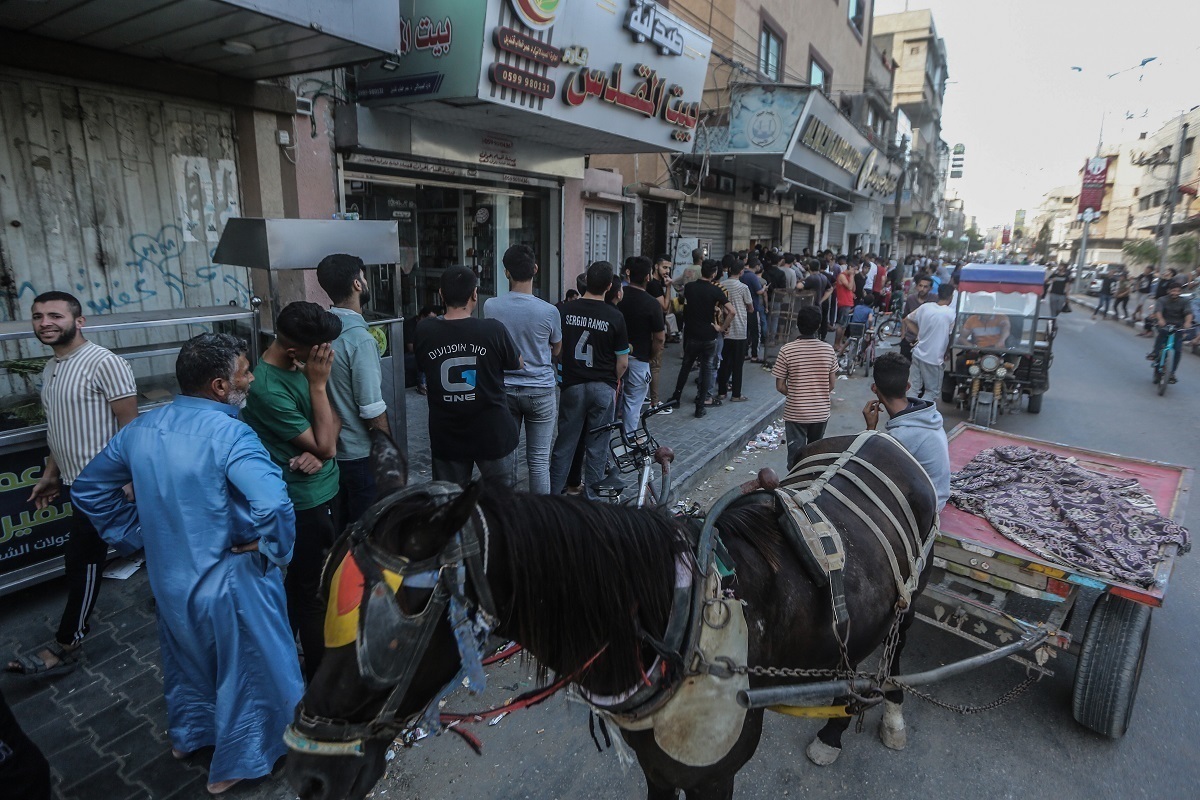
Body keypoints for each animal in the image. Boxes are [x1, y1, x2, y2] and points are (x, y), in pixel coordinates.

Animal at [288, 431, 936, 800]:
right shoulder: (659, 767)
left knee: (895, 654)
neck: (678, 628)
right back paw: (835, 725)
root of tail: (883, 435)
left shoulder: (715, 776)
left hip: (914, 593)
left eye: (395, 628)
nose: (307, 777)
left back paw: (880, 717)